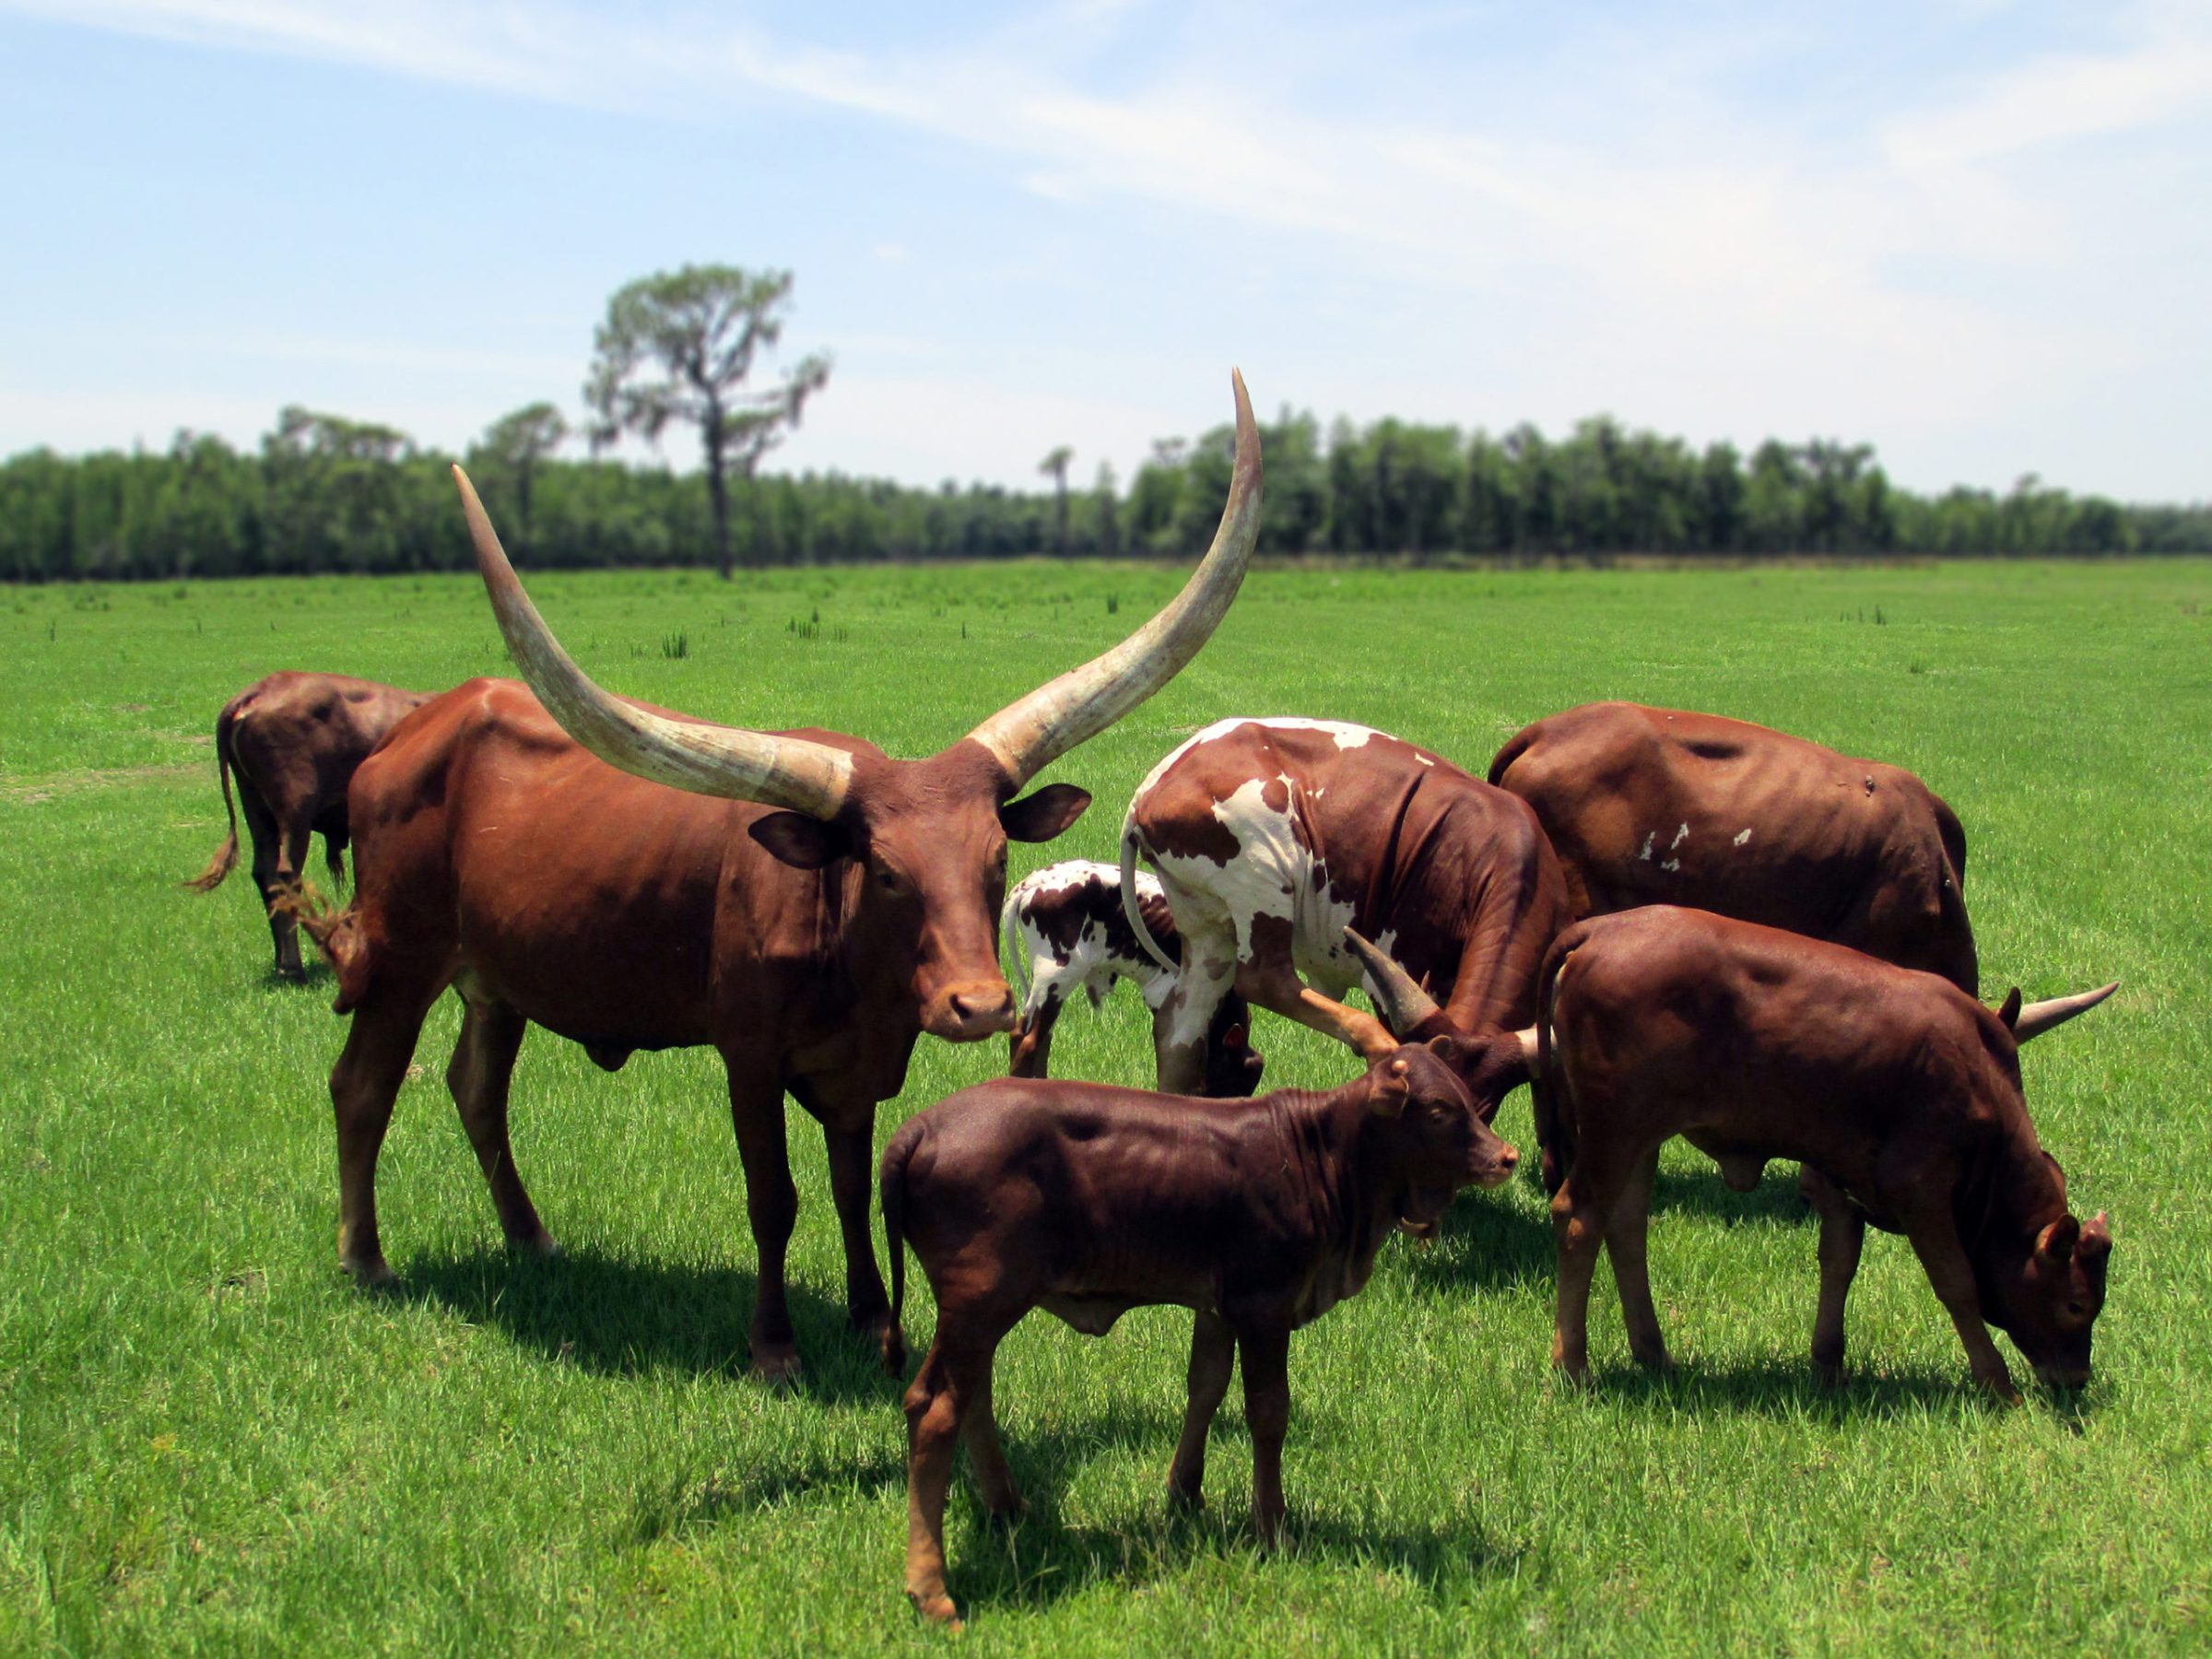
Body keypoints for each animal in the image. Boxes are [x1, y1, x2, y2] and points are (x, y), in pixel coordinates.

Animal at [182, 672, 430, 979]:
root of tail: (256, 693)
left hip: (258, 812)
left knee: (265, 875)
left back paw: (284, 963)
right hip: (295, 813)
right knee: (286, 875)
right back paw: (293, 966)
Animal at [879, 1036, 1521, 1625]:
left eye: (1468, 1097)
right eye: (1437, 1110)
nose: (1508, 1157)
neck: (1322, 1156)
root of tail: (922, 1126)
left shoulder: (1218, 1306)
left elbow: (1206, 1384)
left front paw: (1185, 1491)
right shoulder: (1265, 1304)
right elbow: (1268, 1412)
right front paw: (1274, 1527)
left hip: (977, 1313)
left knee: (968, 1398)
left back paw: (1008, 1507)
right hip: (980, 1299)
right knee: (935, 1408)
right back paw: (932, 1591)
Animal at [1119, 718, 1570, 1095]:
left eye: (1488, 1101)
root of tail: (1152, 786)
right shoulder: (1395, 967)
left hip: (1208, 929)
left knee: (1182, 1026)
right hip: (1262, 874)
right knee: (1267, 980)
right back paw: (1369, 1037)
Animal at [1415, 905, 2117, 1401]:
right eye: (2077, 1304)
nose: (2074, 1378)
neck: (1976, 1080)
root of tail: (1598, 931)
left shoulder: (1840, 1176)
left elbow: (1840, 1260)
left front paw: (1829, 1361)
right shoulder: (1920, 1188)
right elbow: (1958, 1284)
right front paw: (1996, 1382)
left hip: (1640, 1137)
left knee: (1627, 1228)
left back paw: (1653, 1351)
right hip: (1616, 1131)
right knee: (1580, 1219)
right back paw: (1575, 1363)